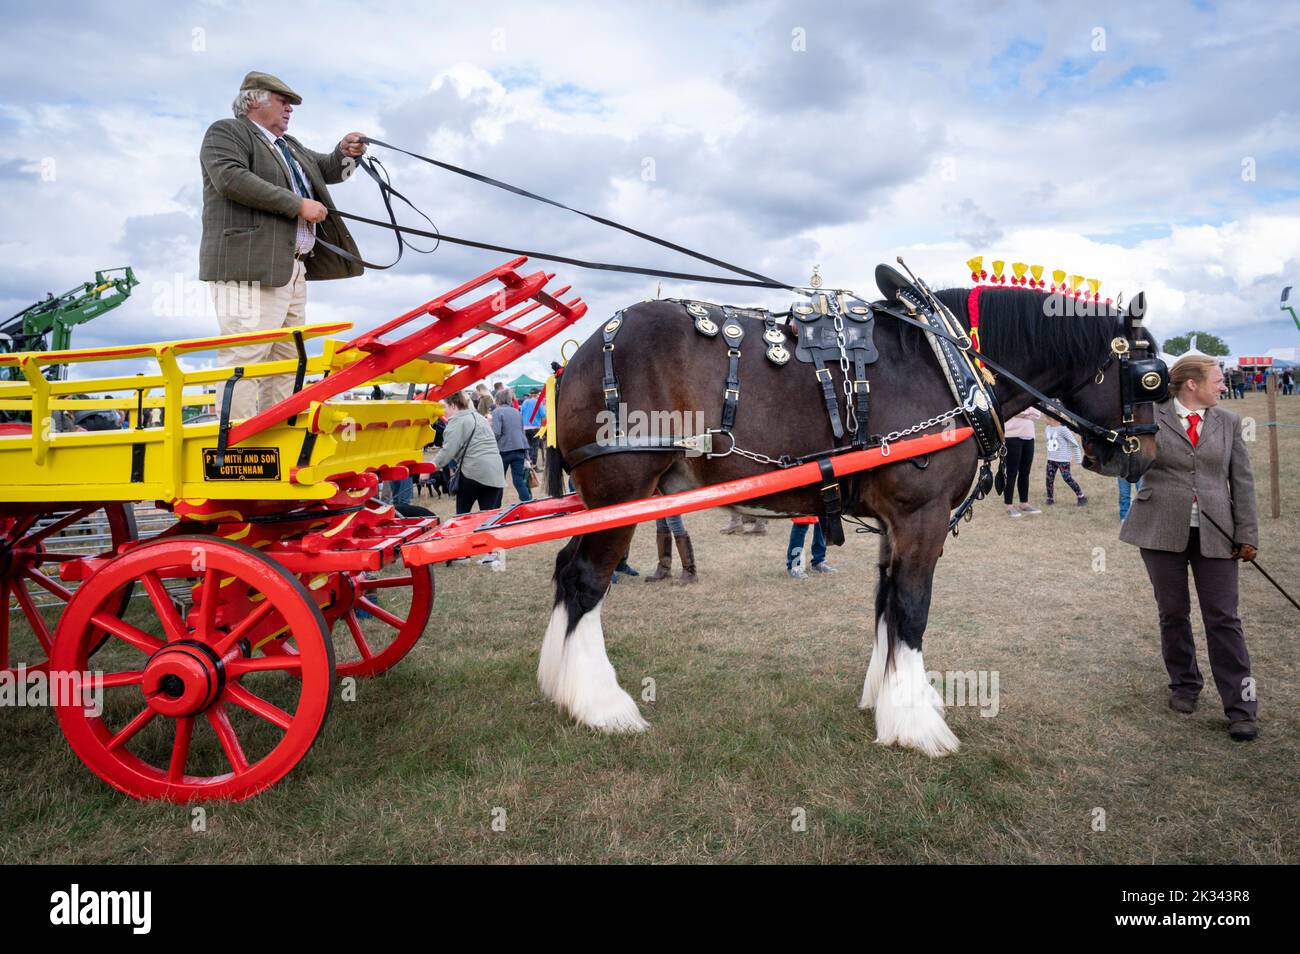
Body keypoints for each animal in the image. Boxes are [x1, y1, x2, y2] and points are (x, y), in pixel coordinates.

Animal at [538, 270, 1170, 764]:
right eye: (1150, 378)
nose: (1143, 455)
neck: (949, 364)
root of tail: (580, 356)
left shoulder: (896, 524)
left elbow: (885, 602)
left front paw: (887, 697)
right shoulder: (921, 517)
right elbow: (912, 608)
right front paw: (917, 726)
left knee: (566, 569)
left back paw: (558, 686)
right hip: (622, 491)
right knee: (586, 579)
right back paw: (601, 706)